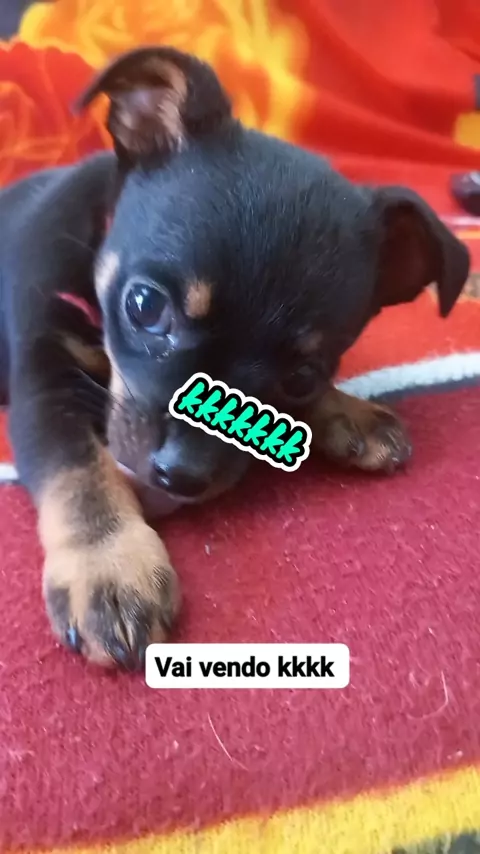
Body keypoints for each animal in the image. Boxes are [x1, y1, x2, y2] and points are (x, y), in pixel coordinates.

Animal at [0, 46, 469, 669]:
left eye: (302, 377)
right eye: (144, 305)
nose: (180, 475)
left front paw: (349, 410)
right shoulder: (43, 378)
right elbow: (79, 472)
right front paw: (109, 567)